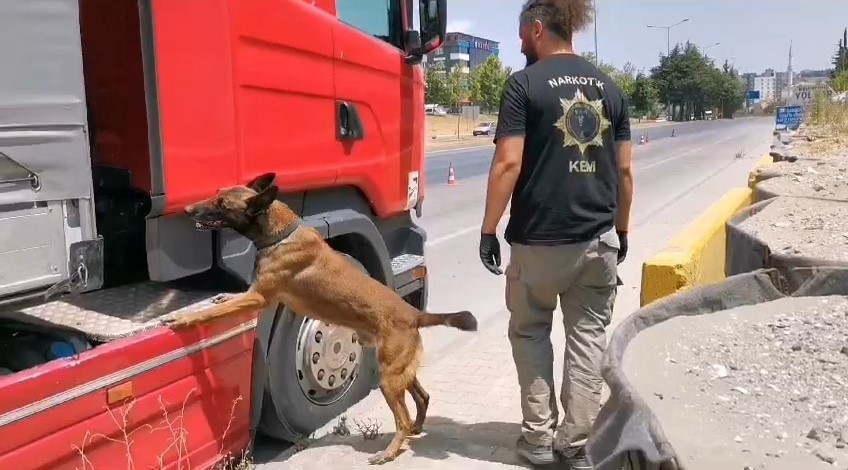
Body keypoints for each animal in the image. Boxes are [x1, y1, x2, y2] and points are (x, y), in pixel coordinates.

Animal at [166, 172, 476, 462]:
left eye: (221, 204)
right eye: (217, 194)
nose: (188, 209)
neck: (281, 233)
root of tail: (414, 314)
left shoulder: (259, 297)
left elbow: (213, 312)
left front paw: (184, 320)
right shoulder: (255, 294)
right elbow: (228, 302)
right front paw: (220, 299)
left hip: (389, 377)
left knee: (403, 418)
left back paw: (389, 452)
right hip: (399, 370)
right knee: (422, 398)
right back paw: (416, 429)